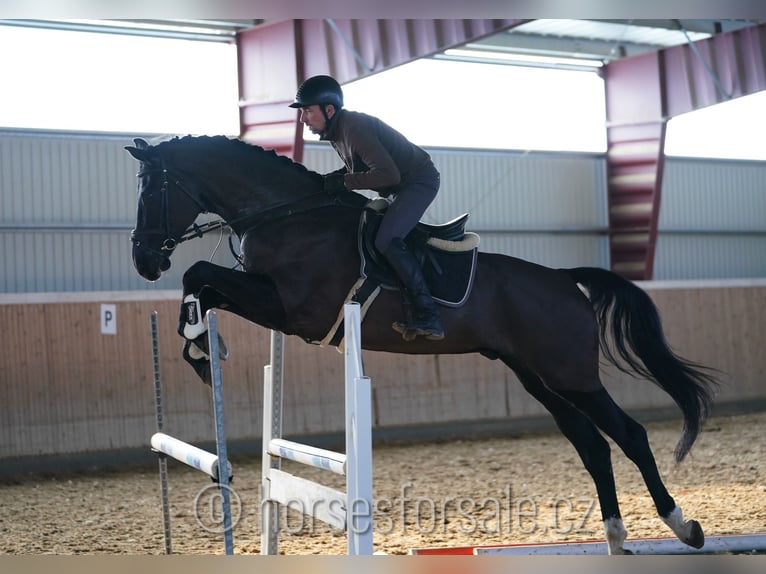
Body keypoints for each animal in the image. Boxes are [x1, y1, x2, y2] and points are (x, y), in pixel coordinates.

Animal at [126, 134, 720, 552]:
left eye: (151, 191)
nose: (143, 260)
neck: (288, 215)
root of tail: (563, 278)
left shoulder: (298, 313)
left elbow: (202, 273)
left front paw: (201, 346)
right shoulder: (271, 299)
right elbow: (202, 281)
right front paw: (200, 346)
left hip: (571, 374)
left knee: (630, 434)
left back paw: (683, 526)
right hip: (536, 376)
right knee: (592, 444)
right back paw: (617, 538)